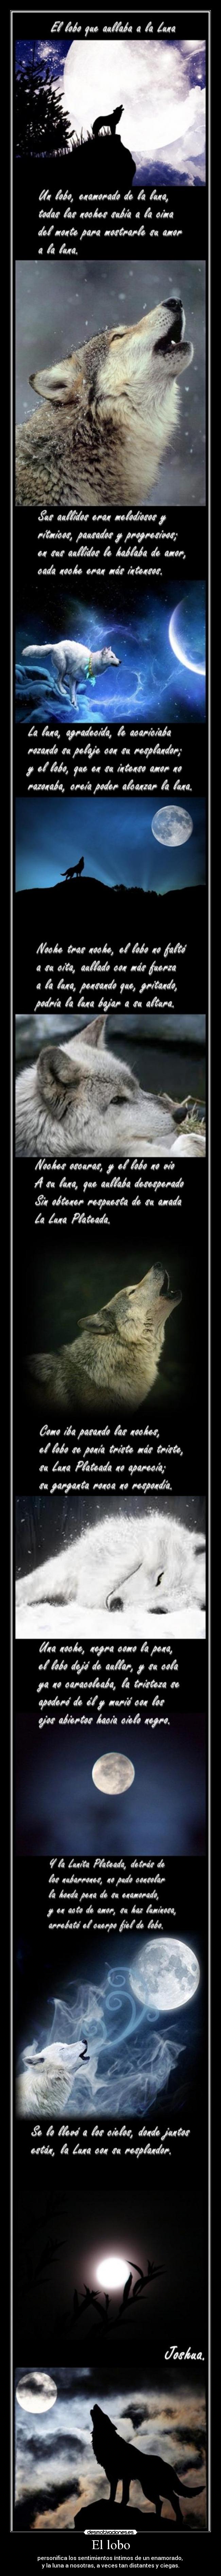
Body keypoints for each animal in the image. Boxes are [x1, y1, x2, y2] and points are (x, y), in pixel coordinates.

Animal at [22, 640, 119, 712]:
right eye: (112, 657)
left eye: (115, 656)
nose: (121, 661)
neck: (91, 662)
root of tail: (56, 645)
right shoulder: (73, 677)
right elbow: (73, 692)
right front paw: (73, 702)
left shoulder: (78, 680)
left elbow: (75, 692)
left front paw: (75, 702)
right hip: (64, 667)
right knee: (59, 680)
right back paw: (63, 690)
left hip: (66, 670)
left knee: (61, 679)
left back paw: (67, 685)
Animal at [91, 2404, 204, 2527]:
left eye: (104, 2415)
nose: (96, 2405)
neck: (109, 2442)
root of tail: (169, 2466)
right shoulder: (113, 2476)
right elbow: (113, 2494)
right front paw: (111, 2502)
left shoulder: (126, 2477)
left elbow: (125, 2496)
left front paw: (121, 2506)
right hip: (151, 2490)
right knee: (162, 2502)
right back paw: (159, 2518)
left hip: (155, 2489)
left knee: (173, 2499)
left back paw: (176, 2521)